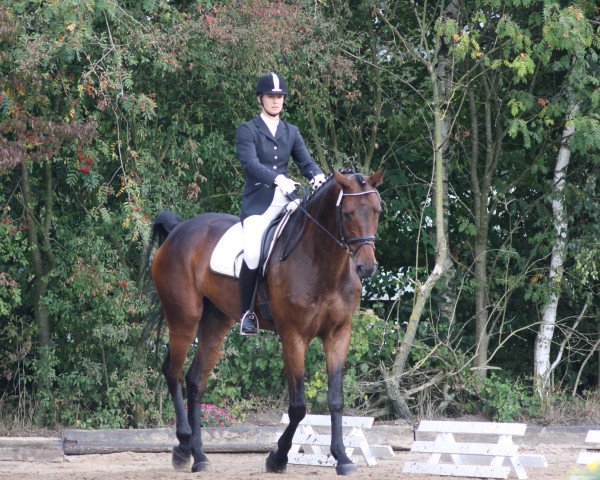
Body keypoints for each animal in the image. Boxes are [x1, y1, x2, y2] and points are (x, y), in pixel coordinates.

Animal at [150, 167, 384, 474]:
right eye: (347, 214)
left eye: (377, 211)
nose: (366, 267)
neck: (322, 262)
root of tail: (178, 230)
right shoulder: (293, 336)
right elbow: (298, 406)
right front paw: (278, 457)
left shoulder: (338, 334)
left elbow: (335, 400)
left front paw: (342, 458)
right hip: (184, 319)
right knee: (174, 373)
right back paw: (182, 448)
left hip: (215, 323)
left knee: (195, 380)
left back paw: (199, 456)